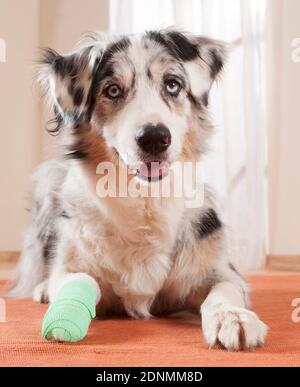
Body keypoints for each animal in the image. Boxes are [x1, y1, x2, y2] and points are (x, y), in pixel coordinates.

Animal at [9, 29, 268, 352]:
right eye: (112, 90)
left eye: (173, 84)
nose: (154, 137)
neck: (144, 200)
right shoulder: (73, 265)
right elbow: (81, 280)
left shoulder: (218, 268)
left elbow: (224, 290)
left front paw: (233, 318)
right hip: (48, 182)